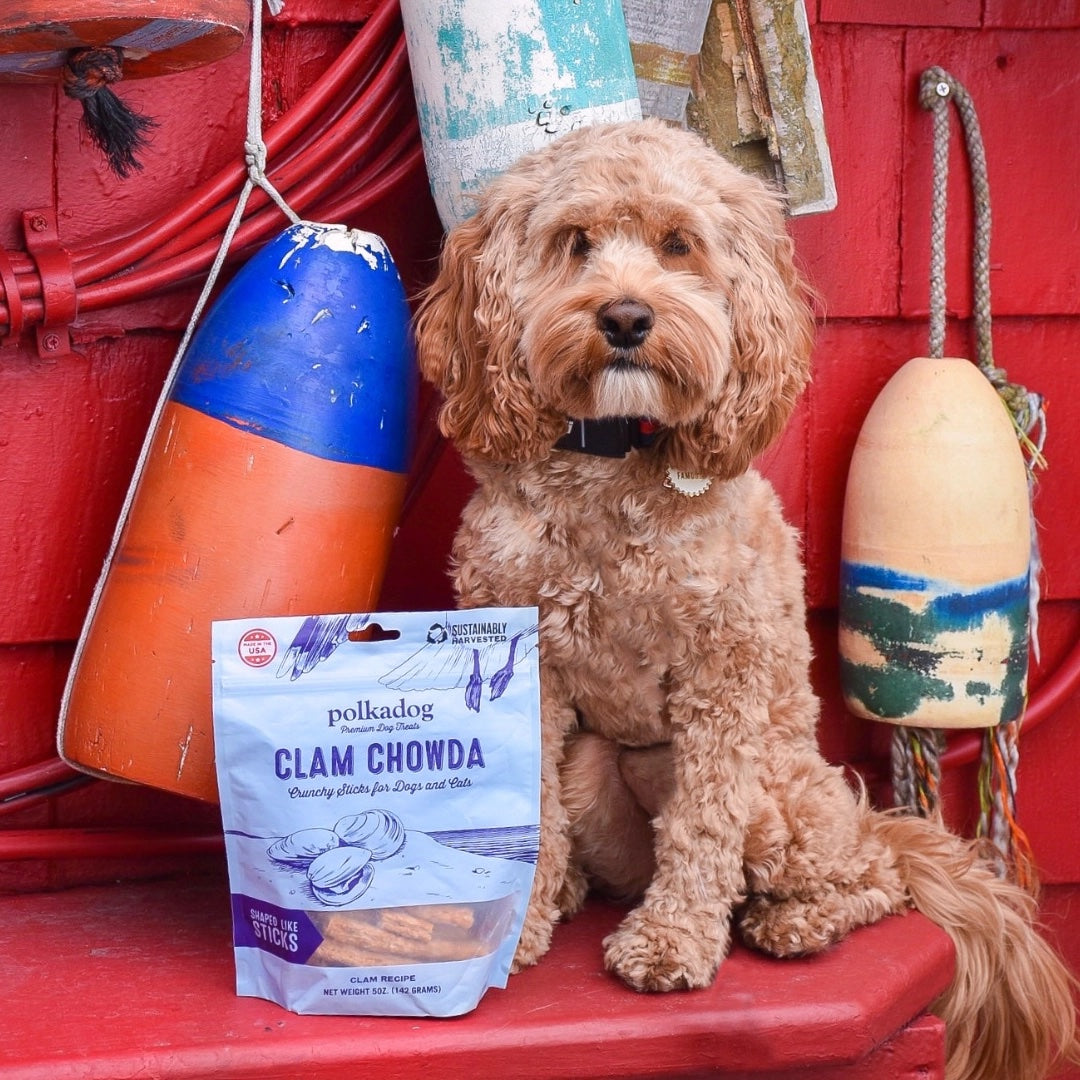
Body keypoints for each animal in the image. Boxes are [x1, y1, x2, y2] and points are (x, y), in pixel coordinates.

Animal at [410, 118, 1071, 1080]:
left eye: (678, 243)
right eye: (575, 242)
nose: (626, 317)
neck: (614, 460)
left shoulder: (722, 674)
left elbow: (702, 825)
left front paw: (673, 944)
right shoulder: (521, 660)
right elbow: (524, 809)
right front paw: (516, 924)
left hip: (777, 796)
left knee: (875, 875)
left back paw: (792, 921)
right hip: (593, 766)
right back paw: (574, 888)